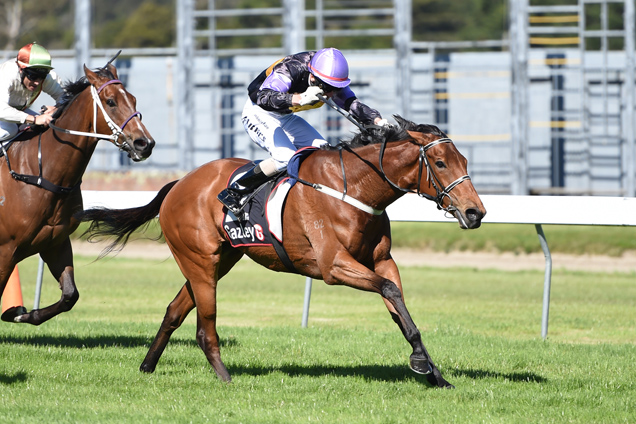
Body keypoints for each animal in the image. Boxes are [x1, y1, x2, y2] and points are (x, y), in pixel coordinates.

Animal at [0, 60, 154, 324]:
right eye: (110, 101)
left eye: (133, 99)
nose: (145, 144)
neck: (40, 174)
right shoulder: (6, 250)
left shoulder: (55, 242)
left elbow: (70, 295)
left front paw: (22, 313)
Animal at [79, 116, 486, 388]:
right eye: (440, 163)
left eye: (465, 161)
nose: (475, 212)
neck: (354, 188)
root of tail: (179, 183)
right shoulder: (333, 266)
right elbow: (389, 294)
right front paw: (422, 364)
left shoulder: (382, 261)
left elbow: (400, 309)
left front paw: (433, 372)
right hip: (199, 260)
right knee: (204, 325)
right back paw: (225, 377)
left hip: (220, 260)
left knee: (174, 311)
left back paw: (148, 366)